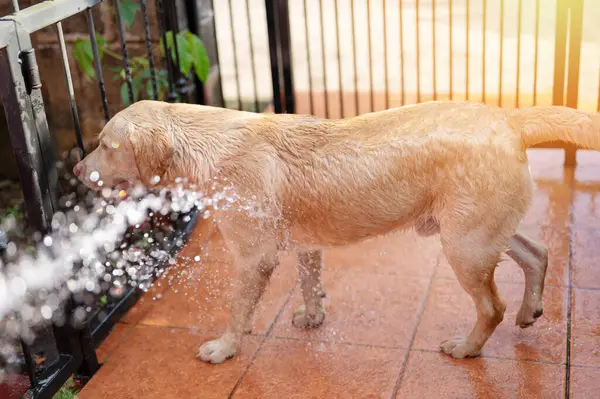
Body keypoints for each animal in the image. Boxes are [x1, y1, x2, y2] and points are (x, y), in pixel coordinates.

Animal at [72, 101, 596, 366]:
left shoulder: (254, 256)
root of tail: (509, 117)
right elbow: (310, 283)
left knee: (492, 307)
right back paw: (530, 311)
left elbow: (239, 310)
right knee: (538, 253)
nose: (76, 170)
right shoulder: (306, 245)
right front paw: (312, 316)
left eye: (105, 145)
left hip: (464, 246)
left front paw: (225, 347)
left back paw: (468, 347)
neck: (204, 143)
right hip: (483, 233)